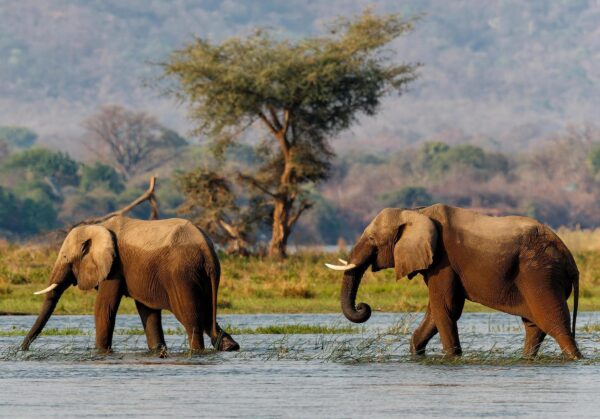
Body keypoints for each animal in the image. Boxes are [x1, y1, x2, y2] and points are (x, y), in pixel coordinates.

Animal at [23, 215, 239, 356]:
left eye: (66, 258)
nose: (22, 349)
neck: (98, 227)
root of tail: (207, 249)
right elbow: (147, 311)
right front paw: (157, 351)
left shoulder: (115, 266)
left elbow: (104, 307)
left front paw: (101, 353)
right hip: (202, 276)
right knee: (207, 316)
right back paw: (230, 347)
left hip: (182, 274)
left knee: (191, 318)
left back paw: (197, 351)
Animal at [328, 205, 580, 360]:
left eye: (372, 239)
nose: (363, 306)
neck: (416, 212)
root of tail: (571, 260)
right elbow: (435, 311)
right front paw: (416, 354)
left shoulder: (444, 260)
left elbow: (445, 308)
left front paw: (452, 358)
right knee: (534, 326)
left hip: (540, 274)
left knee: (555, 325)